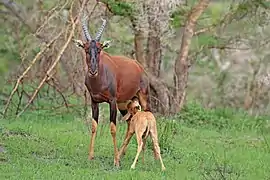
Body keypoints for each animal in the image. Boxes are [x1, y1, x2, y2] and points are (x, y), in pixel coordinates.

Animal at [73, 17, 151, 167]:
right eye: (86, 49)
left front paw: (115, 162)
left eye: (99, 49)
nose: (93, 70)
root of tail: (139, 67)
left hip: (142, 99)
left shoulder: (112, 101)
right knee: (130, 124)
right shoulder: (94, 101)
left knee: (146, 117)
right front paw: (90, 156)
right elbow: (94, 126)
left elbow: (113, 128)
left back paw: (142, 159)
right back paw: (122, 154)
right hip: (124, 103)